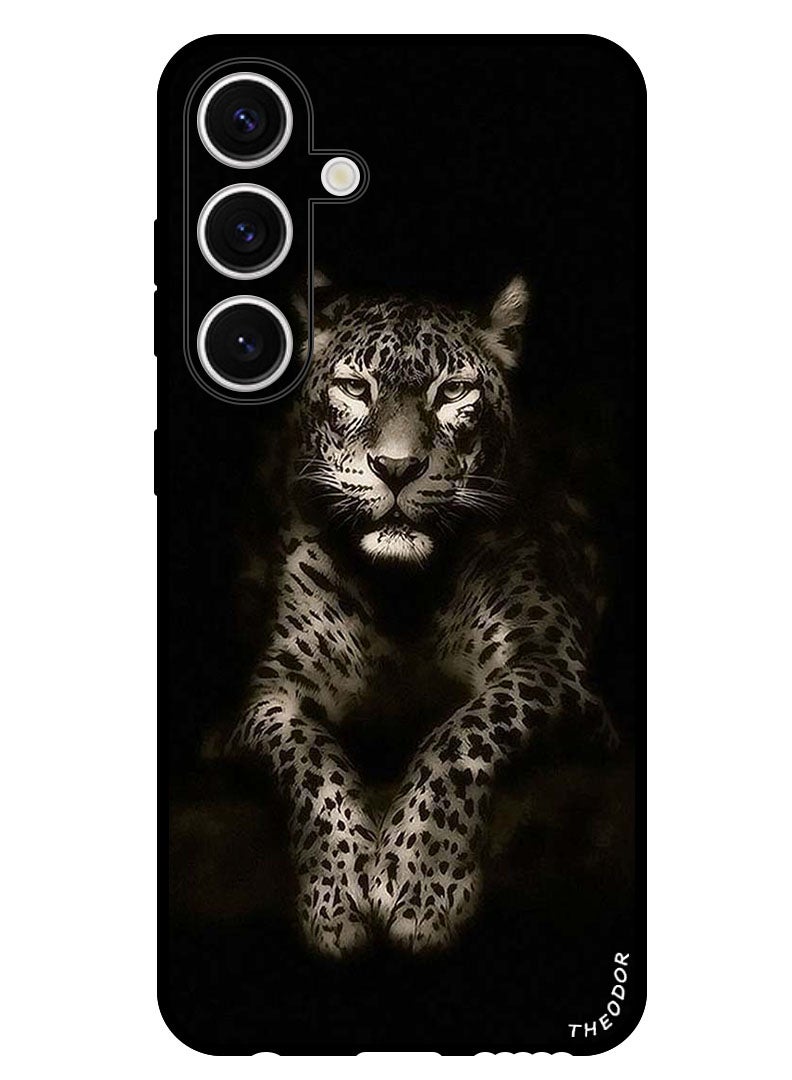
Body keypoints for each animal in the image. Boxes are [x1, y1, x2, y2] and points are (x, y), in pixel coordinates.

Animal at [225, 275, 618, 957]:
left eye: (453, 391)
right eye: (356, 388)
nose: (397, 468)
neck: (401, 594)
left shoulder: (553, 664)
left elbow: (462, 733)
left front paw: (419, 883)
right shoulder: (271, 694)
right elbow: (310, 759)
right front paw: (336, 894)